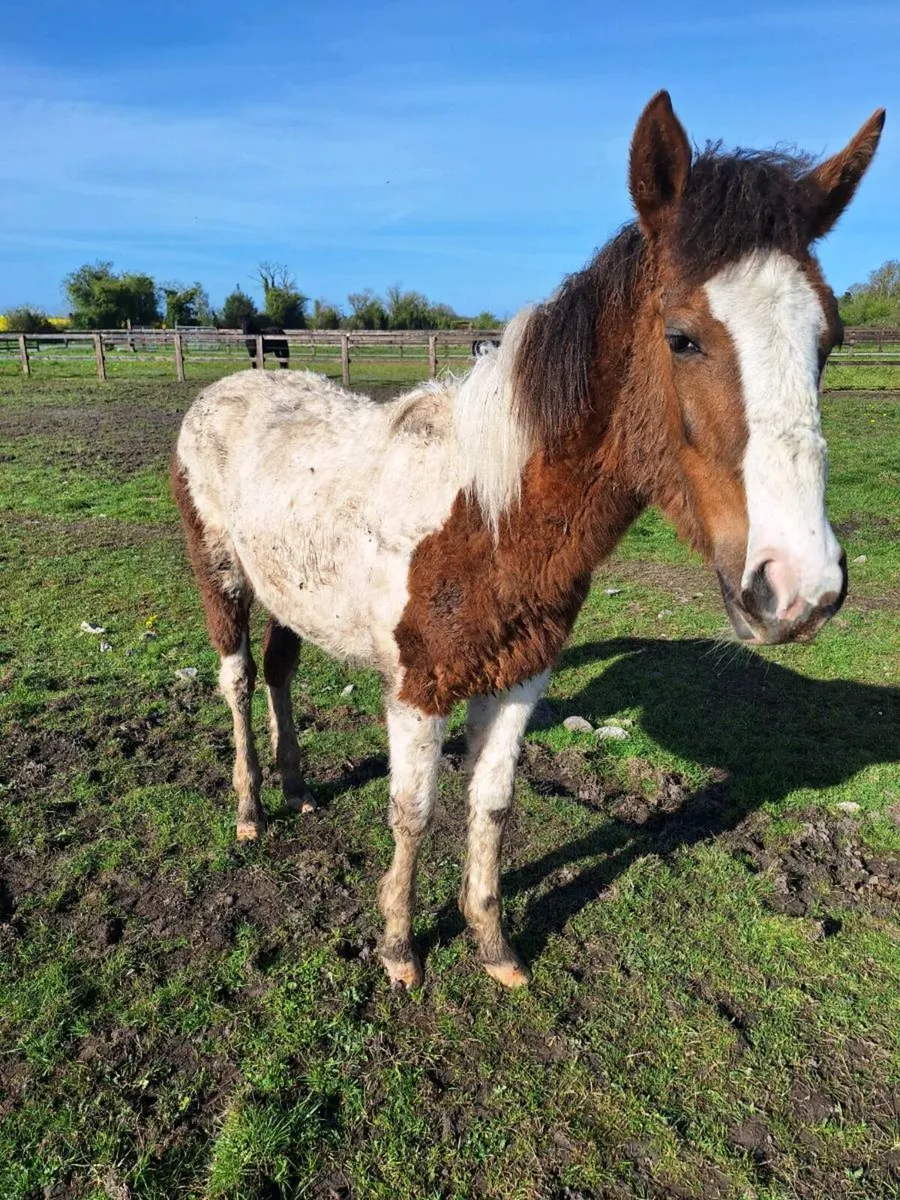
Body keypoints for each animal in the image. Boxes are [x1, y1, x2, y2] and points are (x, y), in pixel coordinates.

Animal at [173, 92, 884, 990]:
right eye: (681, 337)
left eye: (829, 340)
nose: (801, 589)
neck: (490, 513)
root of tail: (230, 385)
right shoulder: (420, 687)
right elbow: (413, 811)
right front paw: (400, 949)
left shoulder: (520, 678)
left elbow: (492, 803)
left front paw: (494, 945)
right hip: (221, 577)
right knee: (235, 681)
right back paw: (250, 811)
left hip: (288, 593)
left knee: (278, 672)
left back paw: (298, 789)